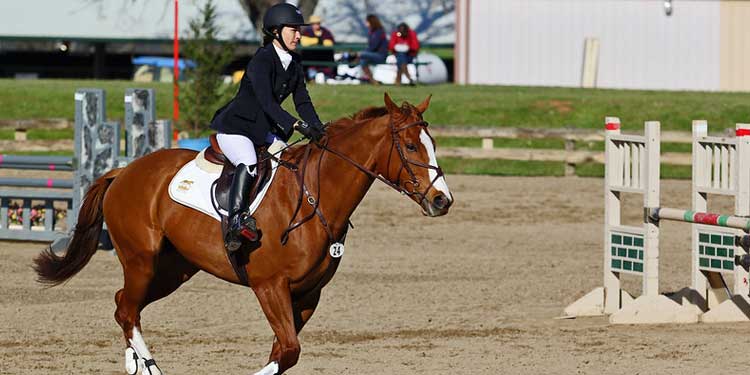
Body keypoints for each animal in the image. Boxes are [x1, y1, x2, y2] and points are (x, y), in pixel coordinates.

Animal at [33, 94, 452, 375]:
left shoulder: (307, 295)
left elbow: (282, 354)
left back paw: (134, 365)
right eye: (410, 146)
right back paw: (149, 367)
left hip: (173, 270)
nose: (442, 200)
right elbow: (287, 352)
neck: (315, 197)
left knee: (126, 305)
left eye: (432, 144)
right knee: (126, 309)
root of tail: (124, 171)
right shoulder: (270, 286)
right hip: (142, 260)